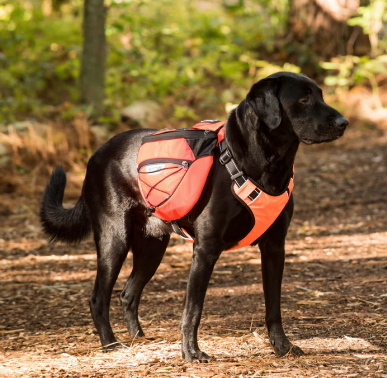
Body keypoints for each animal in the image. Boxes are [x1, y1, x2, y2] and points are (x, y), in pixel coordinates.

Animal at [39, 71, 348, 360]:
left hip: (152, 246)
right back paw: (111, 344)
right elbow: (193, 310)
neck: (264, 163)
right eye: (304, 99)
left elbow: (274, 306)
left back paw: (140, 338)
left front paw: (282, 347)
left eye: (320, 95)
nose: (344, 122)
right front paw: (191, 352)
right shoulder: (205, 249)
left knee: (128, 293)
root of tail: (94, 156)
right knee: (98, 298)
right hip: (115, 240)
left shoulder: (274, 247)